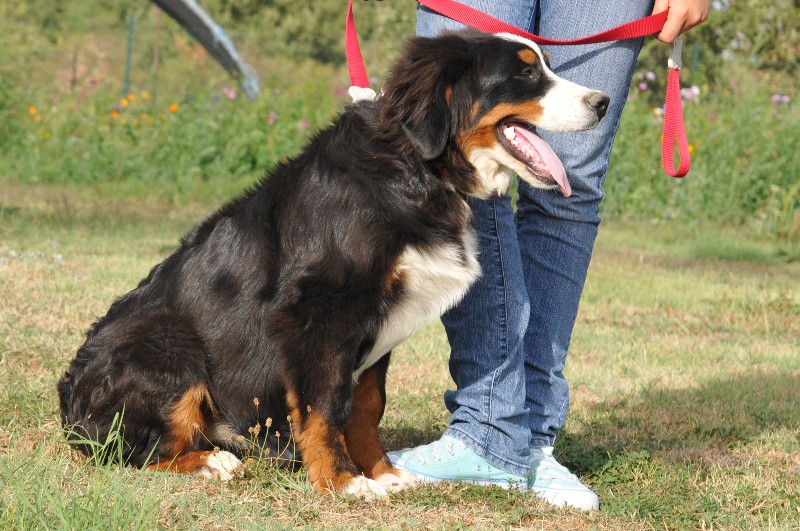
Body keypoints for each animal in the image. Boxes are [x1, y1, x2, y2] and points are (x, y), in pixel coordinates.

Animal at [57, 31, 608, 498]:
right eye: (524, 75)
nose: (602, 103)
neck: (415, 170)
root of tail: (69, 404)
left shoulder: (377, 322)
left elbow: (364, 407)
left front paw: (383, 473)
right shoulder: (318, 313)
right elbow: (324, 406)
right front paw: (343, 481)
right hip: (168, 347)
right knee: (131, 452)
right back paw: (209, 462)